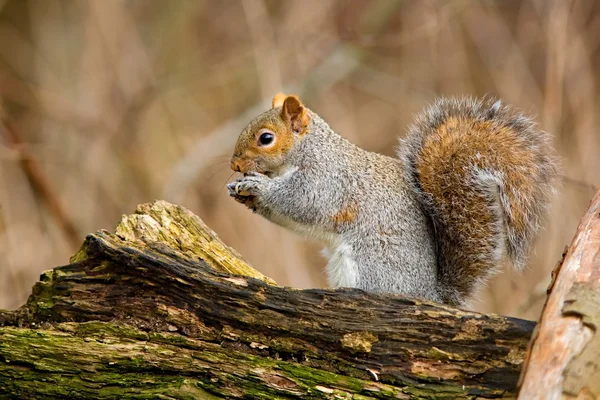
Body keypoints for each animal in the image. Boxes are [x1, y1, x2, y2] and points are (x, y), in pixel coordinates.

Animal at [226, 94, 556, 306]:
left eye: (266, 138)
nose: (235, 165)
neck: (310, 150)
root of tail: (430, 295)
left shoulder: (327, 181)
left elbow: (300, 202)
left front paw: (257, 186)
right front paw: (240, 191)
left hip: (371, 265)